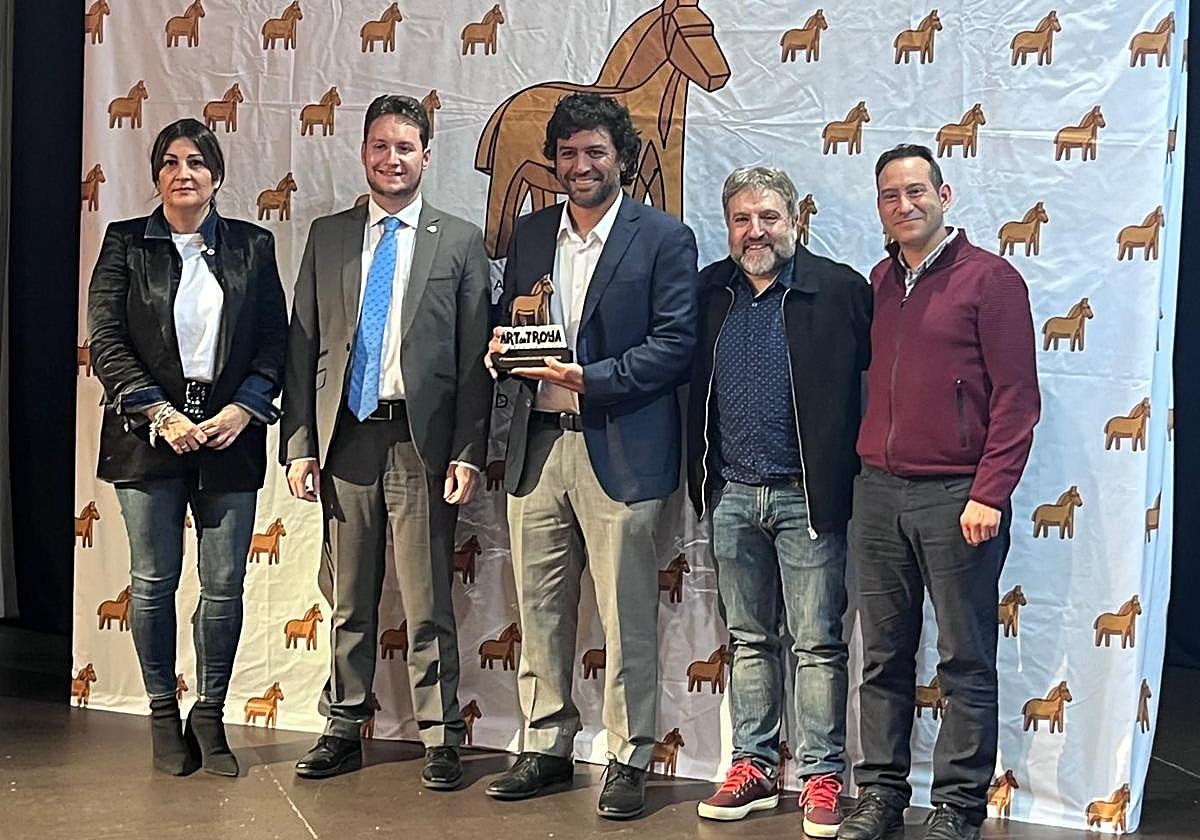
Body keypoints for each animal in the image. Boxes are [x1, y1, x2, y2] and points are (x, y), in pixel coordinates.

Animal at [474, 0, 730, 259]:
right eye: (682, 31)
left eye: (709, 28)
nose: (719, 77)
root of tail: (509, 103)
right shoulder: (637, 175)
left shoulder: (664, 166)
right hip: (508, 170)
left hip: (535, 173)